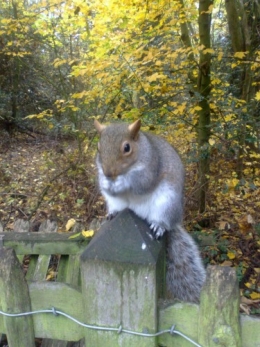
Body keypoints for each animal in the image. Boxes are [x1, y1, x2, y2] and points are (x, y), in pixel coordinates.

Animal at [93, 119, 205, 304]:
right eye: (98, 147)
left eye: (127, 148)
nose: (109, 173)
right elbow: (107, 187)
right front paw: (105, 183)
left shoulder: (151, 167)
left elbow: (141, 183)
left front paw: (123, 181)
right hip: (115, 203)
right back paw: (112, 213)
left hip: (166, 203)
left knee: (163, 220)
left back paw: (159, 225)